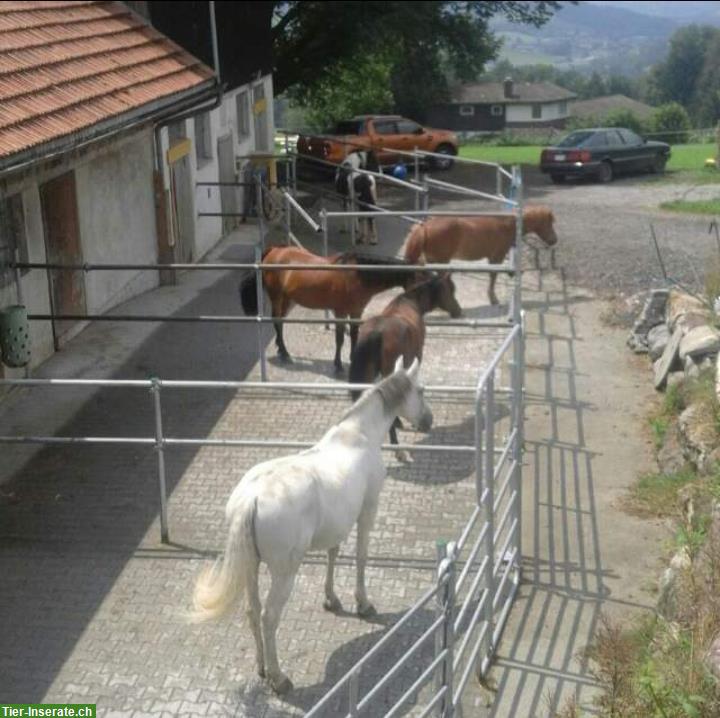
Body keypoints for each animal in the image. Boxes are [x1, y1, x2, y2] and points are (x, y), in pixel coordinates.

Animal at [402, 205, 560, 304]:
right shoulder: (496, 257)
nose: (554, 240)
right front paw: (493, 298)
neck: (508, 224)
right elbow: (493, 276)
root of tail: (424, 227)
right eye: (548, 222)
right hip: (441, 262)